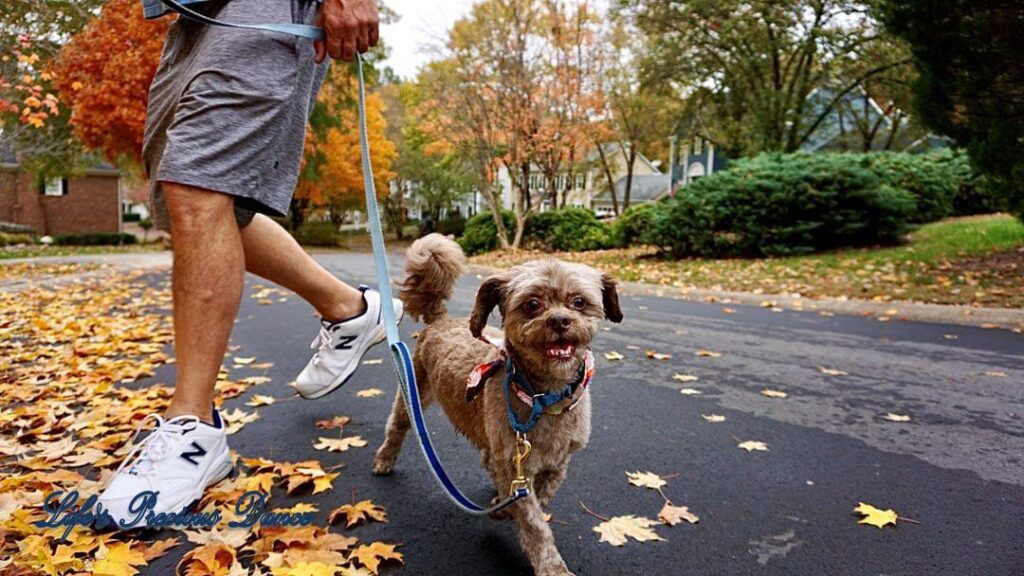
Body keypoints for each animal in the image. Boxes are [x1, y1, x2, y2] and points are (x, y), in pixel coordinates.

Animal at [372, 230, 618, 569]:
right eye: (532, 304)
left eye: (579, 302)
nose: (559, 320)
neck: (543, 398)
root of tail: (440, 320)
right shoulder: (514, 462)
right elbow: (534, 524)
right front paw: (551, 566)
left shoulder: (557, 462)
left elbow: (539, 498)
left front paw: (504, 508)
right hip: (413, 393)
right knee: (397, 426)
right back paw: (385, 459)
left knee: (487, 460)